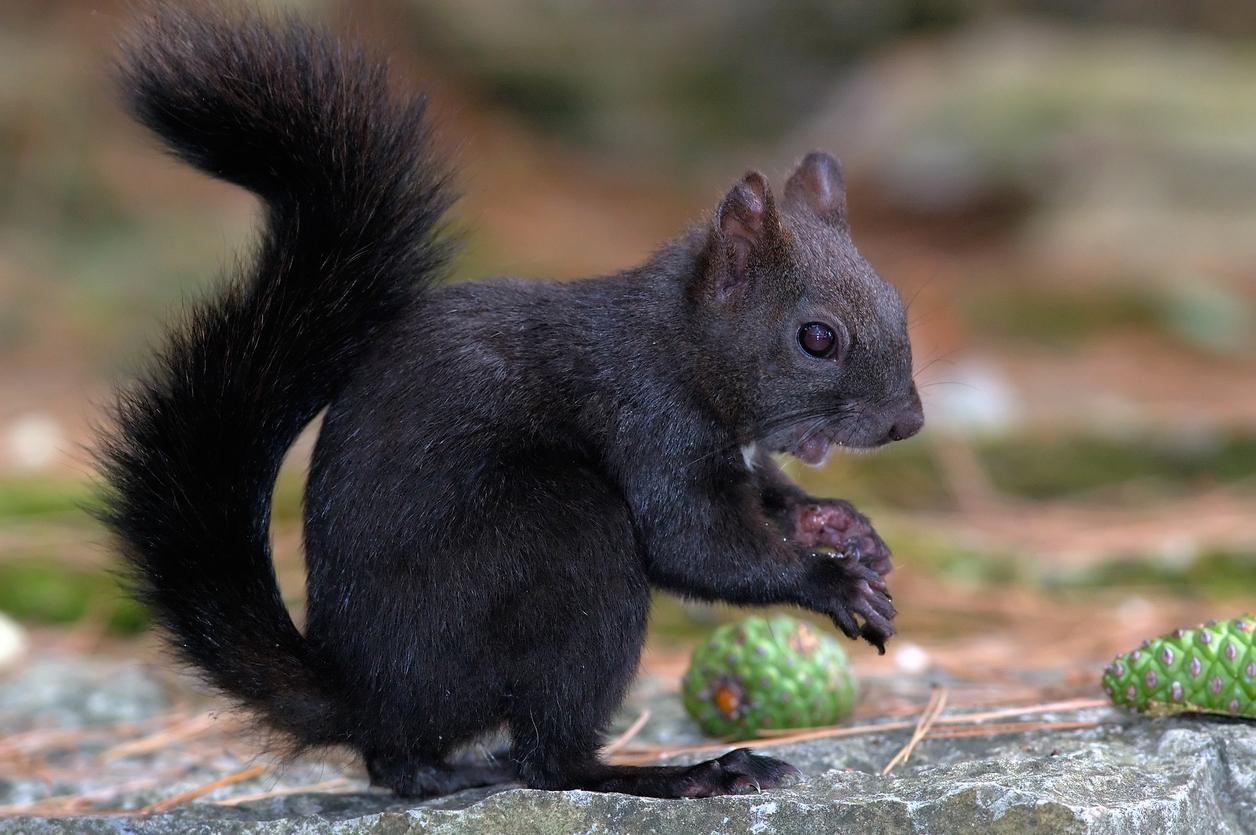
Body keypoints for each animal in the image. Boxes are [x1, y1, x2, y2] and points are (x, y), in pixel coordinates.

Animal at [97, 8, 924, 803]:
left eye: (898, 302)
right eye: (817, 337)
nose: (906, 422)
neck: (683, 348)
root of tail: (366, 689)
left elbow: (772, 498)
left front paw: (843, 525)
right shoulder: (649, 422)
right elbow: (694, 545)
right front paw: (831, 581)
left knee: (403, 763)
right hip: (565, 542)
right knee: (544, 759)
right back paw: (680, 773)